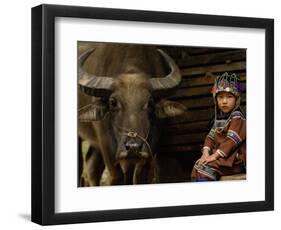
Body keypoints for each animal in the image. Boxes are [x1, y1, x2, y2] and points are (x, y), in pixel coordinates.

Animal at [77, 44, 185, 186]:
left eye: (150, 103)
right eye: (113, 102)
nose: (133, 147)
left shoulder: (150, 147)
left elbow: (138, 176)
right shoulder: (106, 146)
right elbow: (117, 177)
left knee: (93, 166)